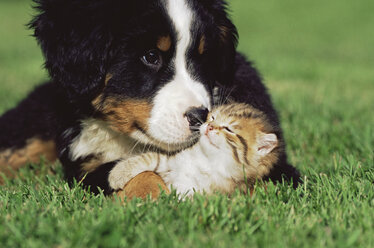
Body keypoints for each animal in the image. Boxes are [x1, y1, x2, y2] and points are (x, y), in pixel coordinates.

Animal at [108, 103, 280, 198]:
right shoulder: (173, 161)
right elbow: (151, 158)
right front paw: (118, 174)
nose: (209, 126)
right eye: (212, 118)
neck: (207, 160)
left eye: (228, 129)